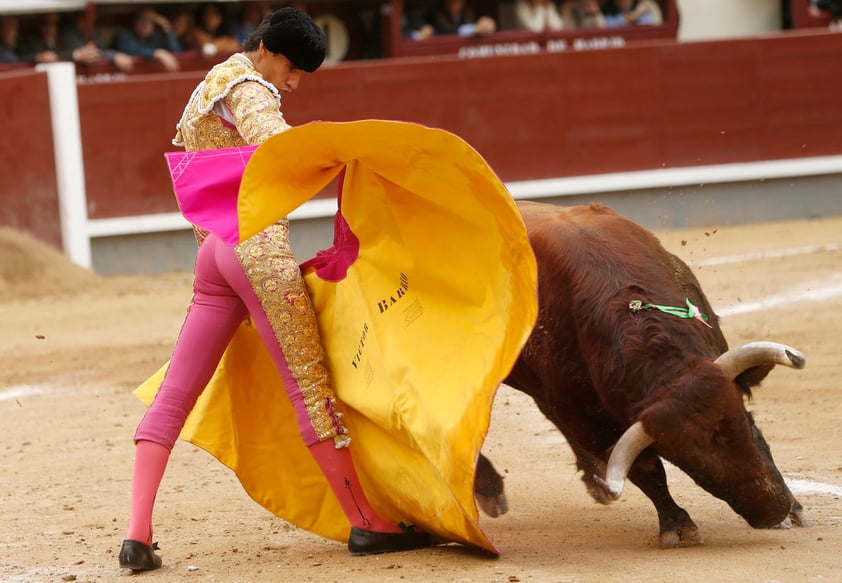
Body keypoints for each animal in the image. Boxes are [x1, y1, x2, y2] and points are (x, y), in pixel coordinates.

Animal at [472, 201, 808, 548]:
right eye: (688, 464)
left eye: (749, 423)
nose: (773, 511)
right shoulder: (592, 423)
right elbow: (647, 472)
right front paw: (678, 525)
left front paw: (795, 508)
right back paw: (490, 491)